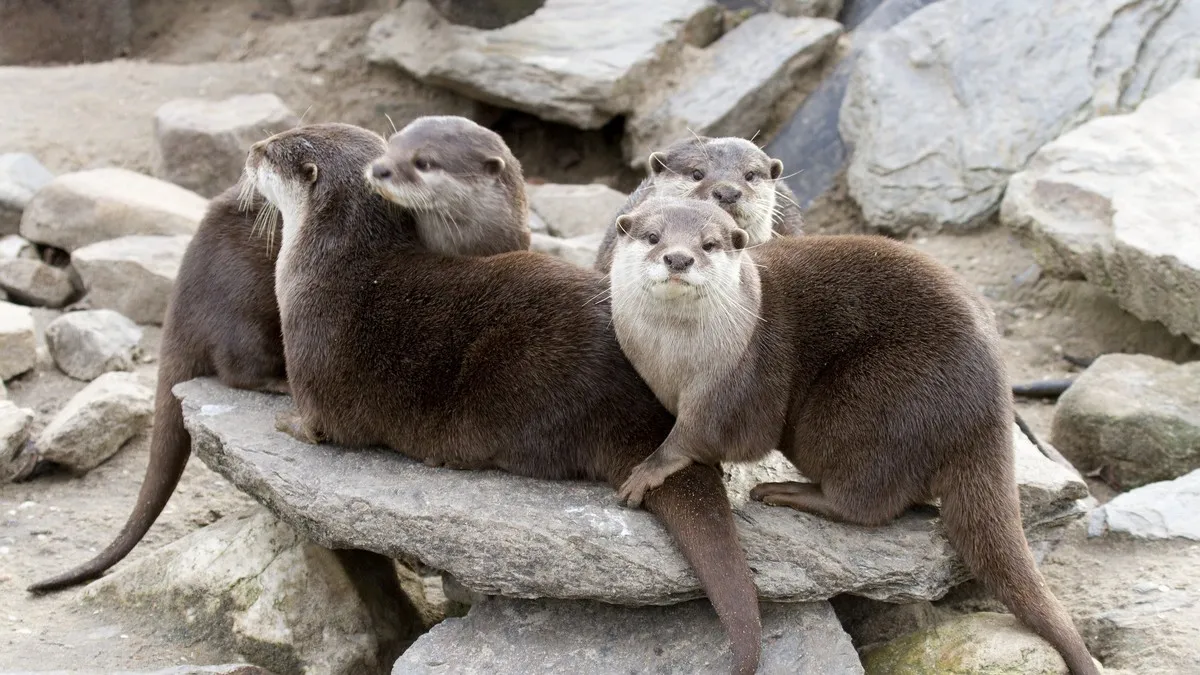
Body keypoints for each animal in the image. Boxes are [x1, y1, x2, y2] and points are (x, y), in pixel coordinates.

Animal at [246, 125, 762, 675]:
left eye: (277, 146)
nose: (252, 150)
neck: (327, 263)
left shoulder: (311, 357)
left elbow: (319, 426)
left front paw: (284, 422)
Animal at [608, 197, 1099, 675]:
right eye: (653, 237)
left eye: (709, 244)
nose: (678, 257)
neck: (676, 362)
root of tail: (992, 401)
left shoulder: (734, 389)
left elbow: (696, 437)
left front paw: (650, 468)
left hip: (870, 402)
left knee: (867, 502)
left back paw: (789, 492)